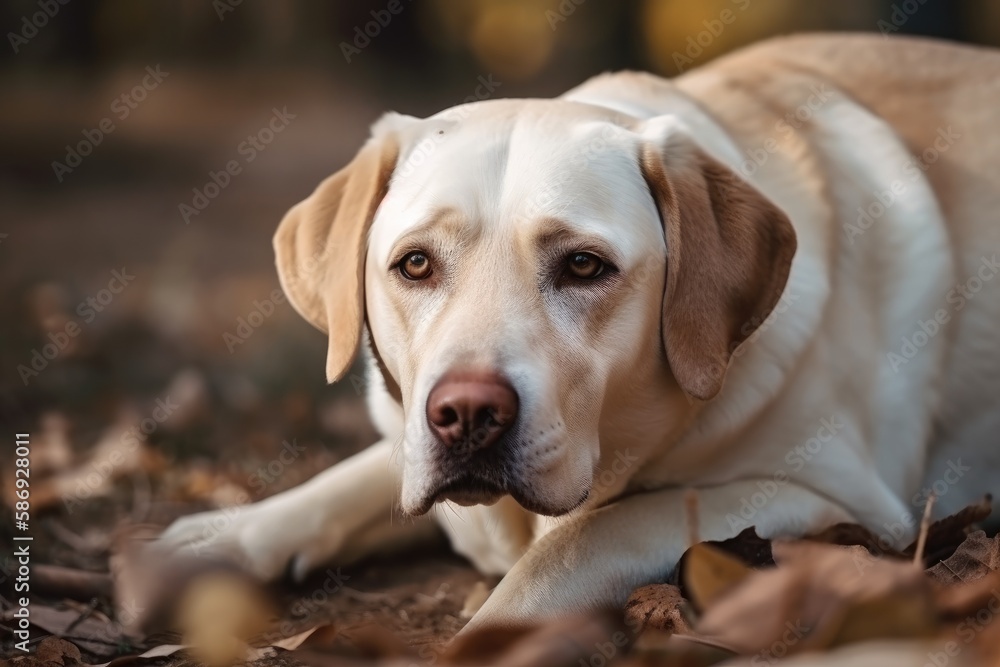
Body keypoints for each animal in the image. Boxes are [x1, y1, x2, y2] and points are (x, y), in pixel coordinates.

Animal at [160, 35, 1000, 632]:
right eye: (415, 264)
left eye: (584, 265)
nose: (466, 413)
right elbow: (358, 474)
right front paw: (222, 537)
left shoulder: (838, 499)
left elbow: (586, 536)